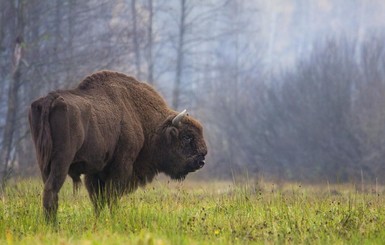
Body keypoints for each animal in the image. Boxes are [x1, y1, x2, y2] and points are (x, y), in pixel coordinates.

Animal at [28, 70, 207, 220]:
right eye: (187, 137)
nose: (202, 158)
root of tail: (50, 99)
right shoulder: (121, 167)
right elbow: (111, 197)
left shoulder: (95, 172)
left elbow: (98, 200)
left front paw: (98, 220)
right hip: (62, 161)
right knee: (52, 189)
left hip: (43, 162)